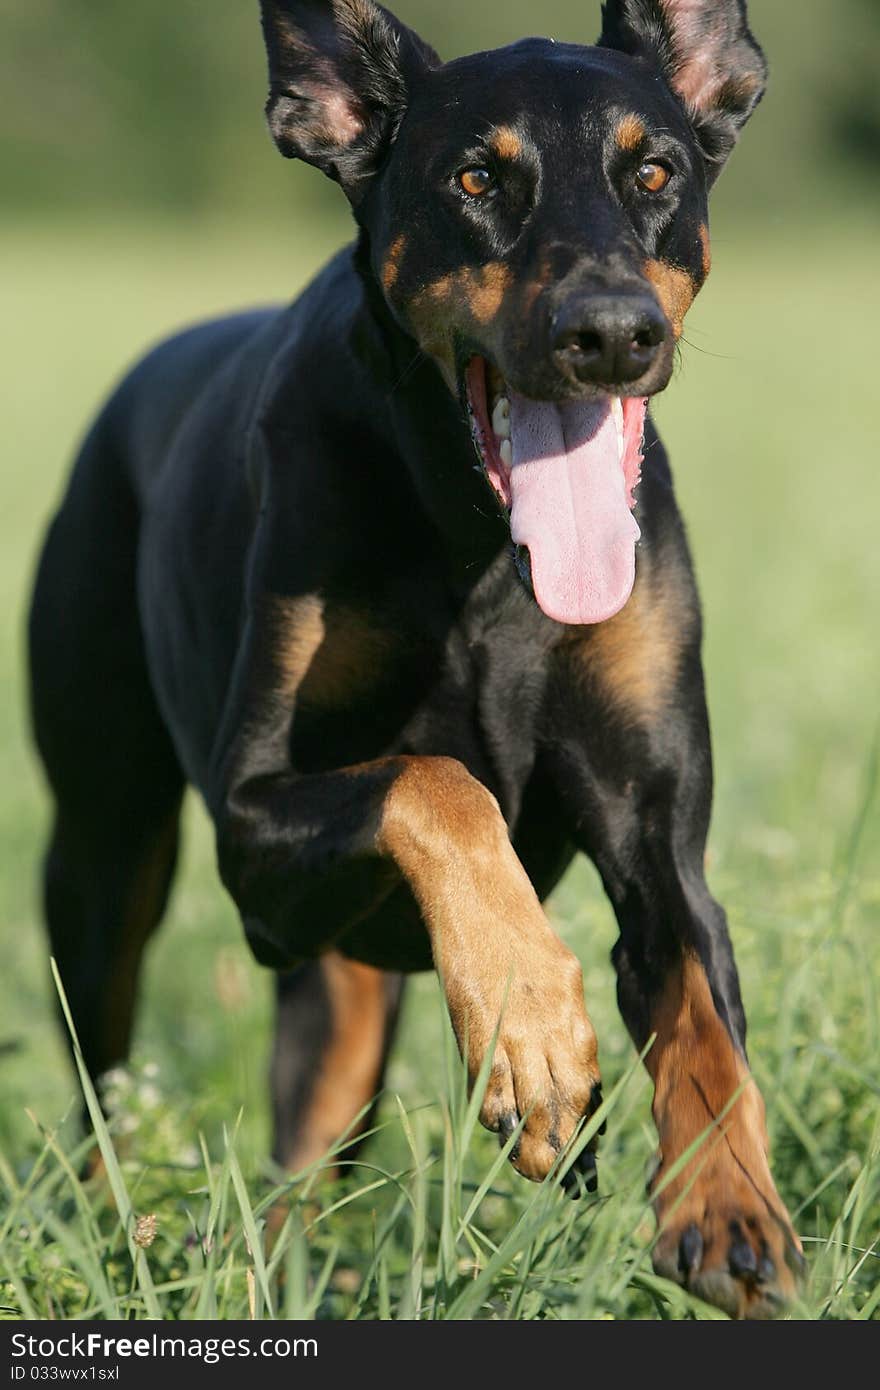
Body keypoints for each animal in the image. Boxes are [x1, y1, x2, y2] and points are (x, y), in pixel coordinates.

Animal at [27, 0, 800, 1317]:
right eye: (475, 179)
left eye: (655, 173)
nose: (610, 334)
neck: (486, 552)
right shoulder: (253, 832)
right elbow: (435, 783)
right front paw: (532, 1027)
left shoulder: (659, 829)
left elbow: (700, 1005)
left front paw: (728, 1205)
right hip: (103, 851)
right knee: (102, 1073)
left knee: (309, 1134)